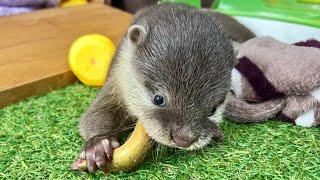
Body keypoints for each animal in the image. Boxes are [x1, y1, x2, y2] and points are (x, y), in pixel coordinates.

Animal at [75, 2, 255, 172]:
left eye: (212, 110)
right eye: (158, 99)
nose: (184, 139)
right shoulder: (116, 82)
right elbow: (95, 114)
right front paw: (98, 145)